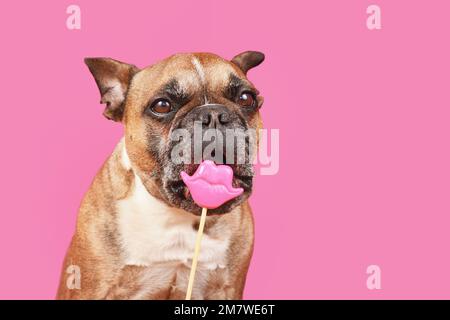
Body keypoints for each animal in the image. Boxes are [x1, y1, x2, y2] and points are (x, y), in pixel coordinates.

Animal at [58, 51, 266, 298]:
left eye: (246, 98)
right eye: (162, 105)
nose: (213, 113)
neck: (176, 215)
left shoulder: (227, 288)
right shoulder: (93, 289)